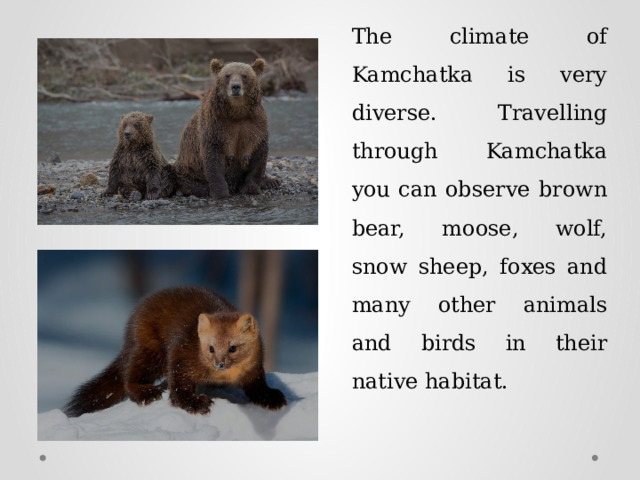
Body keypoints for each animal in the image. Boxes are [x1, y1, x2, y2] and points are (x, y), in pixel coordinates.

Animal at [173, 58, 278, 200]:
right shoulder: (215, 125)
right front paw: (221, 192)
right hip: (188, 170)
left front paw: (252, 188)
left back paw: (271, 181)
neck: (237, 112)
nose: (235, 87)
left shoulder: (256, 124)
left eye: (244, 75)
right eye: (227, 75)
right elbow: (213, 156)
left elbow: (259, 152)